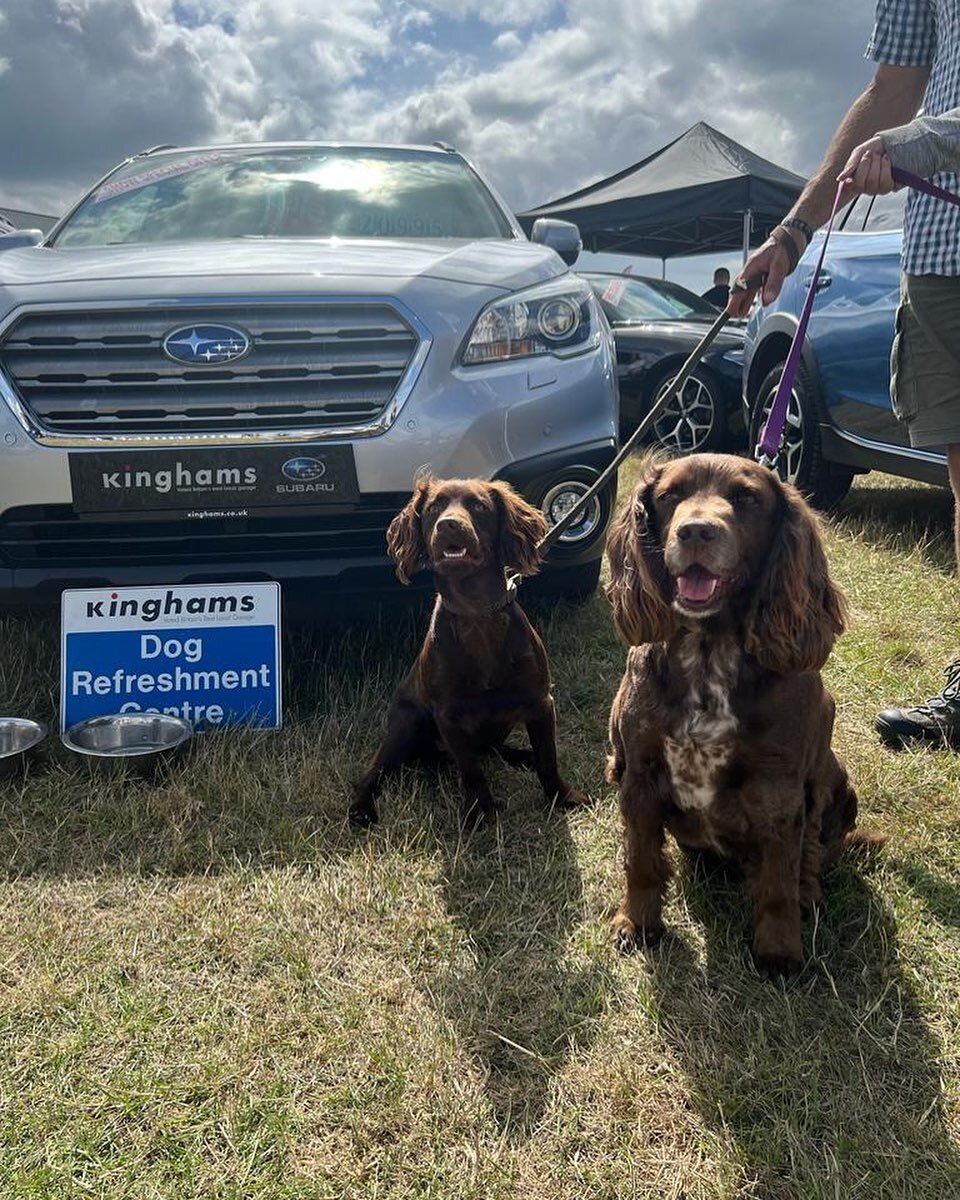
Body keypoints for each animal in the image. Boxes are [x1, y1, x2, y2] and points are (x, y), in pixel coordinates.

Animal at [348, 475, 588, 825]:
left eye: (478, 506)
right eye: (433, 508)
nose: (449, 525)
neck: (475, 611)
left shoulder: (541, 702)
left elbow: (548, 759)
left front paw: (562, 796)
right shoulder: (449, 715)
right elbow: (471, 770)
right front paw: (481, 811)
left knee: (493, 749)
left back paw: (522, 755)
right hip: (406, 724)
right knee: (373, 772)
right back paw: (361, 808)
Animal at [607, 451, 878, 974]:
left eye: (747, 499)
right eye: (669, 495)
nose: (695, 532)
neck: (708, 652)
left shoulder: (778, 788)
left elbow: (778, 881)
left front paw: (779, 952)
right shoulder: (642, 771)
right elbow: (641, 860)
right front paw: (638, 923)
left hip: (838, 784)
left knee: (812, 855)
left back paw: (808, 894)